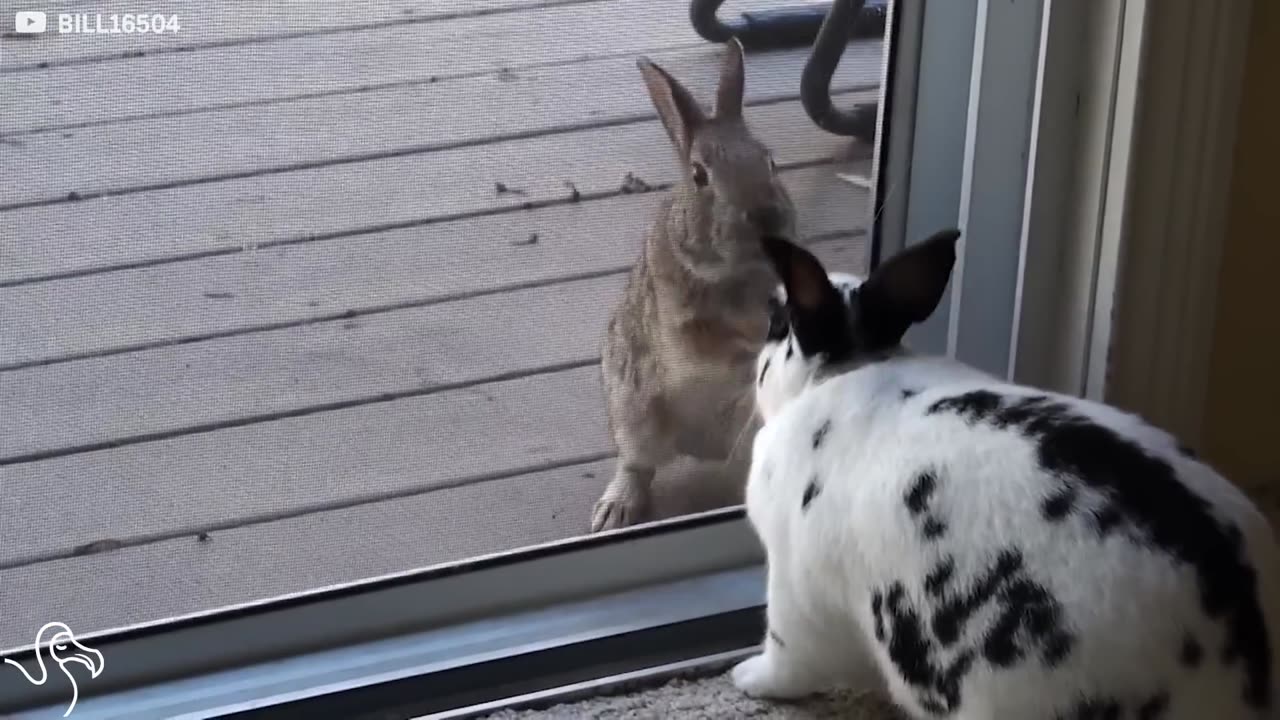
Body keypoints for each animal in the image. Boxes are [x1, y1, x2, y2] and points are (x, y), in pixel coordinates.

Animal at [591, 40, 793, 532]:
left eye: (770, 160)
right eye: (700, 175)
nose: (767, 217)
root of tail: (703, 450)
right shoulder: (686, 330)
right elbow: (717, 345)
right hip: (634, 415)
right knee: (637, 466)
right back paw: (615, 509)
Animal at [732, 230, 1280, 717]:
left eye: (777, 324)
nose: (755, 359)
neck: (849, 365)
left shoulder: (794, 588)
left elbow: (787, 655)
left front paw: (748, 678)